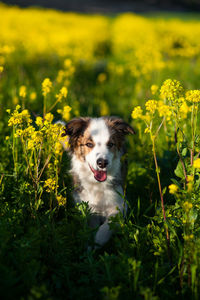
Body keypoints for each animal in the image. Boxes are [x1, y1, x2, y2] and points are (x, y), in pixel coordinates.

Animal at [61, 116, 135, 247]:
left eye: (110, 144)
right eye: (89, 144)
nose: (102, 163)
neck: (97, 185)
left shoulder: (120, 204)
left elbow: (108, 224)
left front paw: (98, 240)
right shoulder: (87, 207)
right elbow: (91, 226)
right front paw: (90, 242)